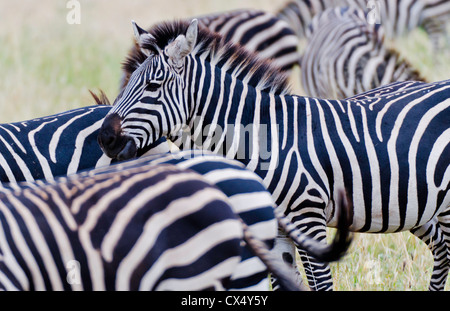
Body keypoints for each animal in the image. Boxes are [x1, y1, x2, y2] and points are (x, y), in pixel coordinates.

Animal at [97, 18, 450, 292]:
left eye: (153, 87)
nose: (104, 138)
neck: (260, 139)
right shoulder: (275, 229)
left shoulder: (308, 218)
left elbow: (321, 284)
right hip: (418, 205)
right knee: (442, 248)